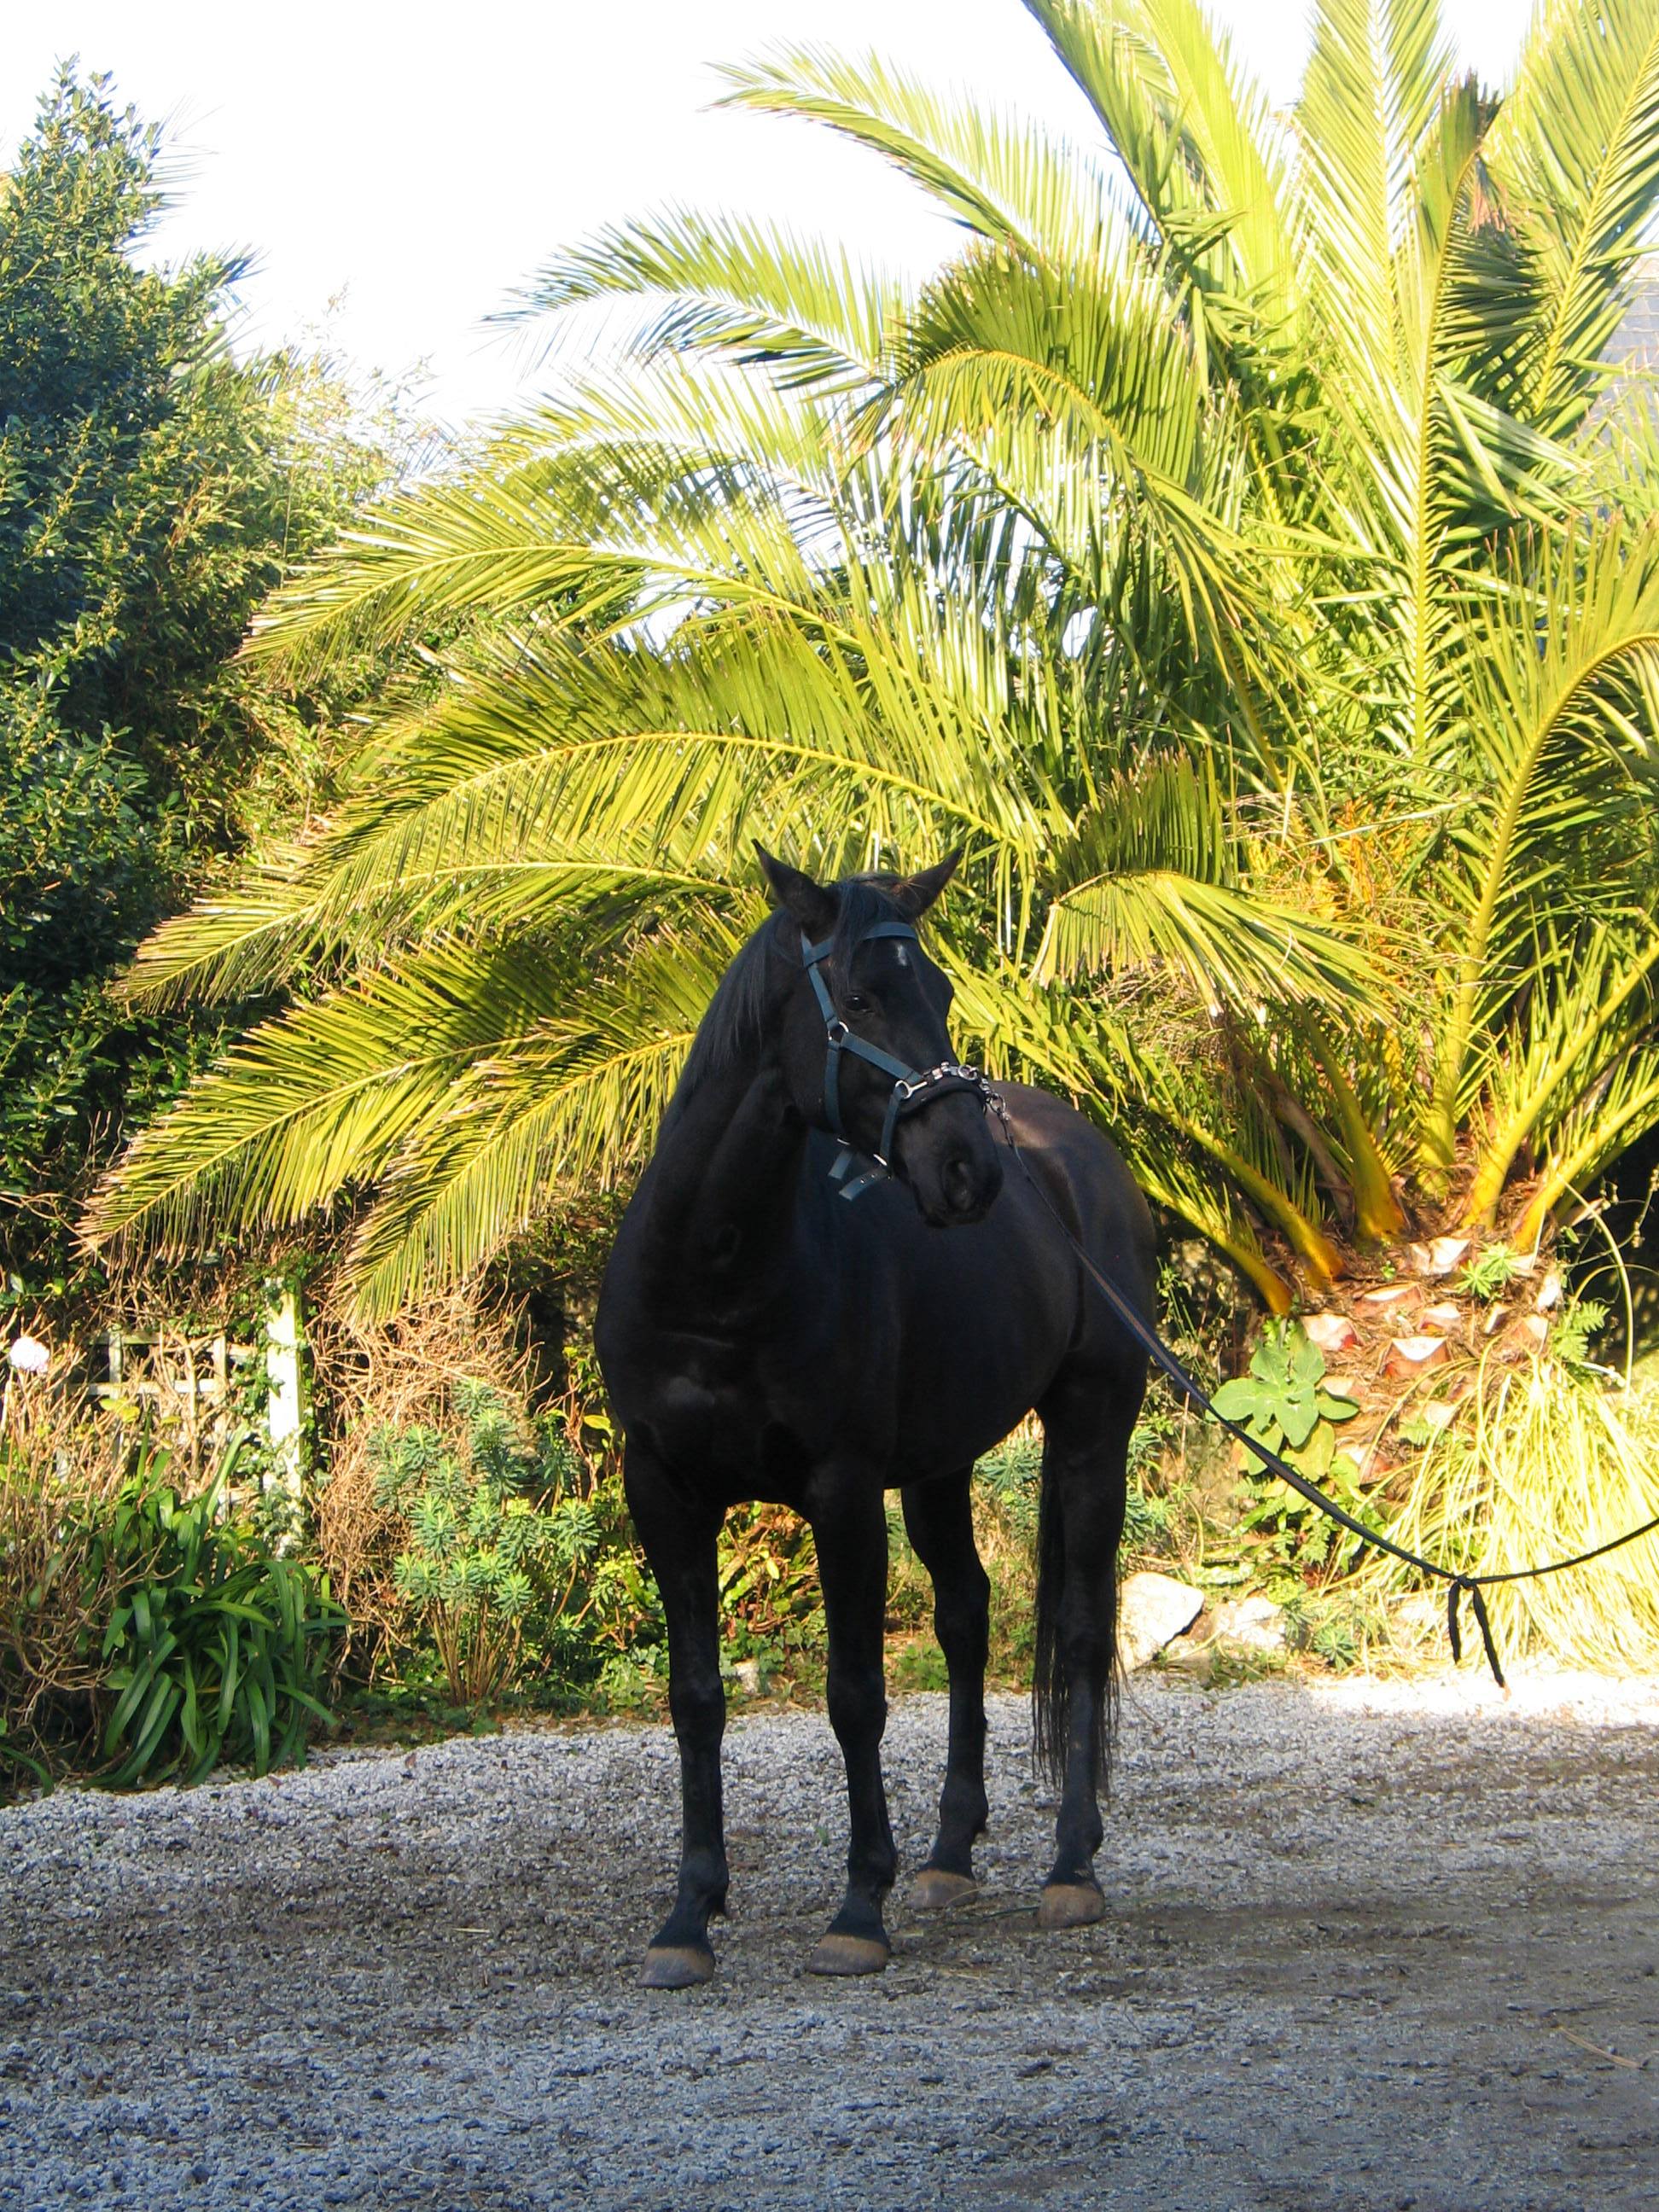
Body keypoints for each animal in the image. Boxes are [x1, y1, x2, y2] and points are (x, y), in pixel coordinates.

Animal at [595, 849, 1155, 1987]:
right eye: (856, 999)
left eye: (936, 992)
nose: (970, 1172)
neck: (715, 1274)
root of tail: (1071, 1154)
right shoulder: (662, 1492)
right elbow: (694, 1698)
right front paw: (689, 1917)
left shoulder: (841, 1491)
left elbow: (854, 1694)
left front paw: (858, 1907)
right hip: (941, 1466)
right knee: (967, 1617)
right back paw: (946, 1857)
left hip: (1090, 1435)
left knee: (1080, 1630)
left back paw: (1070, 1867)